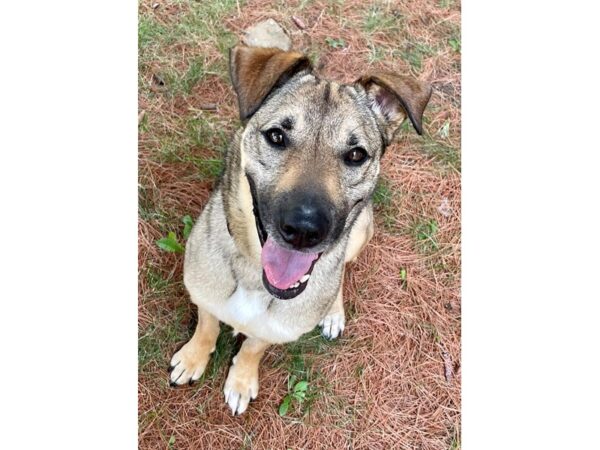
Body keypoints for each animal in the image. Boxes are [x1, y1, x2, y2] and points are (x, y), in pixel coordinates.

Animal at [169, 45, 432, 414]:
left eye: (356, 154)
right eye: (277, 136)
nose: (304, 230)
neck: (255, 278)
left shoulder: (276, 328)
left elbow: (253, 347)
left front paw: (241, 380)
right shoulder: (204, 292)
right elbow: (207, 325)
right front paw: (193, 358)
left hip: (359, 233)